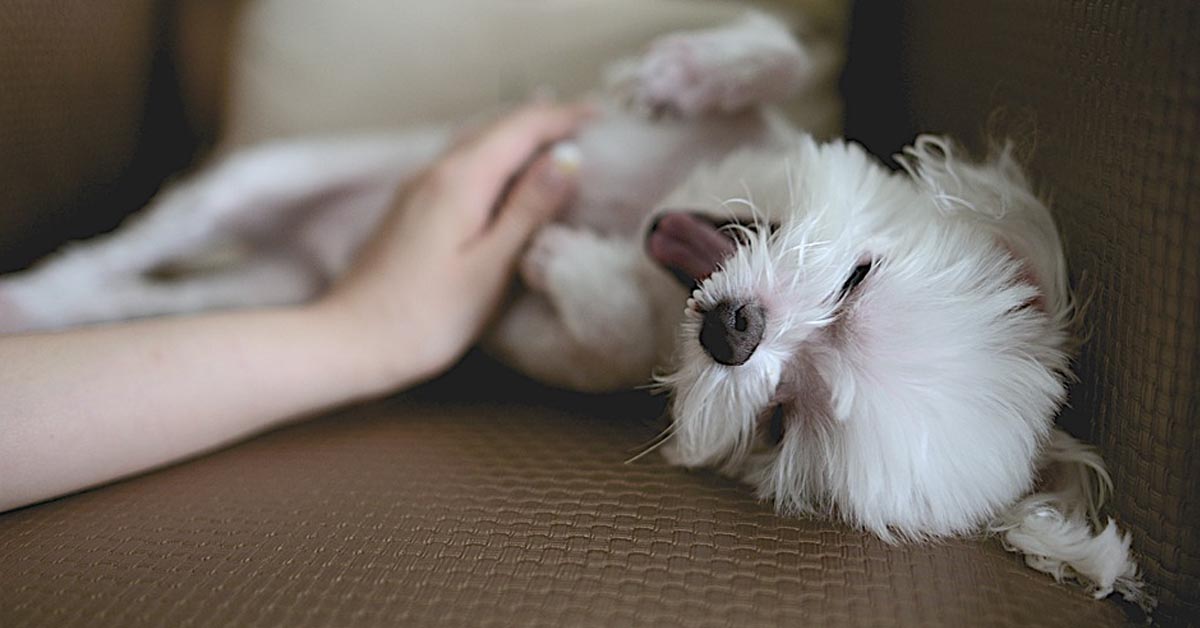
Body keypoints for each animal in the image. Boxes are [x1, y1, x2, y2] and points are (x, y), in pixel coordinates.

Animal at [0, 9, 1147, 609]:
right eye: (860, 278)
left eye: (785, 422)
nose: (735, 333)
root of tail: (306, 252)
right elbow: (773, 52)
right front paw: (687, 71)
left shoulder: (566, 345)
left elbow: (593, 335)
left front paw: (566, 259)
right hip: (262, 181)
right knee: (146, 241)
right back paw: (34, 289)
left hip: (270, 287)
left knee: (138, 293)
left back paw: (45, 308)